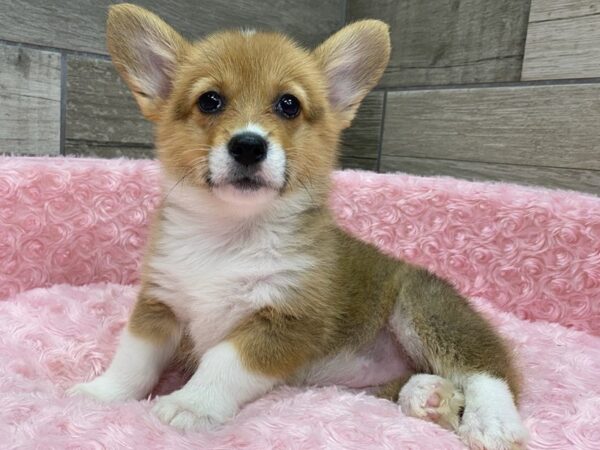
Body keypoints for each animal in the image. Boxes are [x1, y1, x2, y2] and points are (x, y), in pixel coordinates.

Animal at [68, 5, 528, 448]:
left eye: (288, 104)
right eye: (210, 101)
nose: (248, 145)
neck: (229, 236)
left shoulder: (286, 320)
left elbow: (223, 362)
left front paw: (191, 404)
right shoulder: (159, 305)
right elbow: (134, 360)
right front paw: (100, 395)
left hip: (422, 306)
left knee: (488, 371)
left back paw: (493, 422)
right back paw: (430, 397)